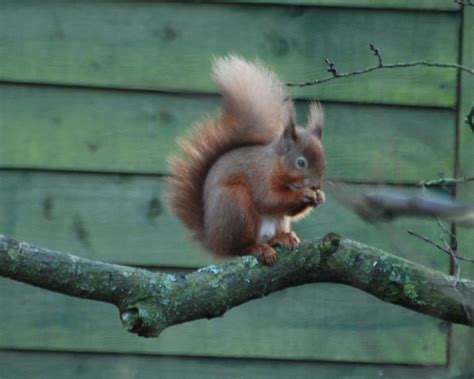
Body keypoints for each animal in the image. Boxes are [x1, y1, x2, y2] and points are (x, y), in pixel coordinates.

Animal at [168, 55, 326, 268]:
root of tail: (213, 241)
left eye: (324, 160)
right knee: (240, 247)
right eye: (301, 162)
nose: (316, 185)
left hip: (276, 221)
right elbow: (268, 199)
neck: (275, 165)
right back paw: (258, 248)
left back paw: (282, 238)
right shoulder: (260, 176)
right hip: (236, 206)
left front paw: (319, 196)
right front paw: (304, 194)